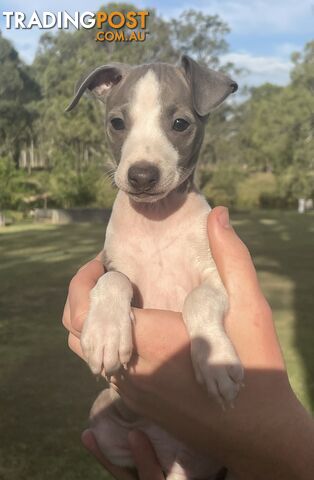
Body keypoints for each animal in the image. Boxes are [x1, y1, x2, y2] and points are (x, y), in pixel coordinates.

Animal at [66, 54, 243, 478]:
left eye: (179, 124)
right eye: (117, 122)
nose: (142, 175)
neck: (156, 221)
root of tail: (168, 450)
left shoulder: (216, 276)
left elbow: (197, 298)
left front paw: (216, 361)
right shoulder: (109, 264)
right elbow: (113, 279)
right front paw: (106, 333)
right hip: (104, 416)